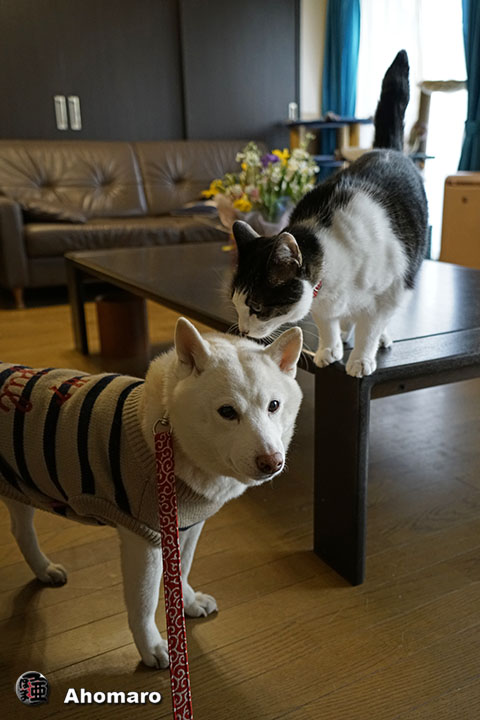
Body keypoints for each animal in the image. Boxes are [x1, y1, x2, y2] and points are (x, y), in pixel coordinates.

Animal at [0, 318, 303, 668]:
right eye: (227, 412)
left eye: (274, 406)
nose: (272, 462)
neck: (167, 441)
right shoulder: (143, 538)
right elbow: (144, 602)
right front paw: (153, 647)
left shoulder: (187, 527)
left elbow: (182, 568)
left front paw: (188, 602)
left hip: (21, 489)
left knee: (21, 531)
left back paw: (44, 570)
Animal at [231, 50, 428, 378]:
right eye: (235, 304)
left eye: (257, 307)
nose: (244, 331)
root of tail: (389, 150)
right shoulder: (320, 300)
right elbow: (326, 322)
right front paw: (329, 349)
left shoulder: (387, 293)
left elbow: (371, 327)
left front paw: (361, 358)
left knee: (380, 319)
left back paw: (377, 338)